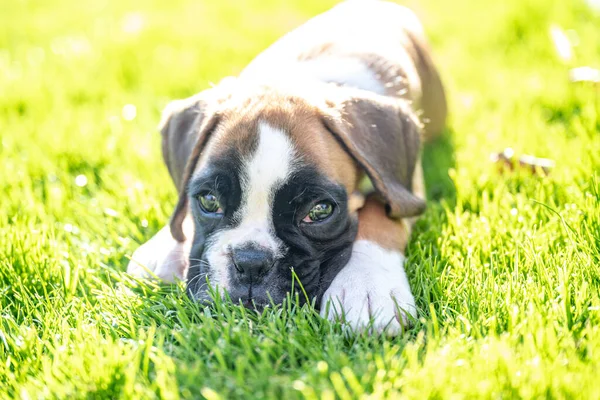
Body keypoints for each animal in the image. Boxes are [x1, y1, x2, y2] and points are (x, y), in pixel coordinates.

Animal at [127, 0, 446, 334]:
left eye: (320, 211)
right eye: (209, 201)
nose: (251, 262)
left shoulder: (409, 188)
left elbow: (379, 214)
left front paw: (368, 286)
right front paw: (165, 246)